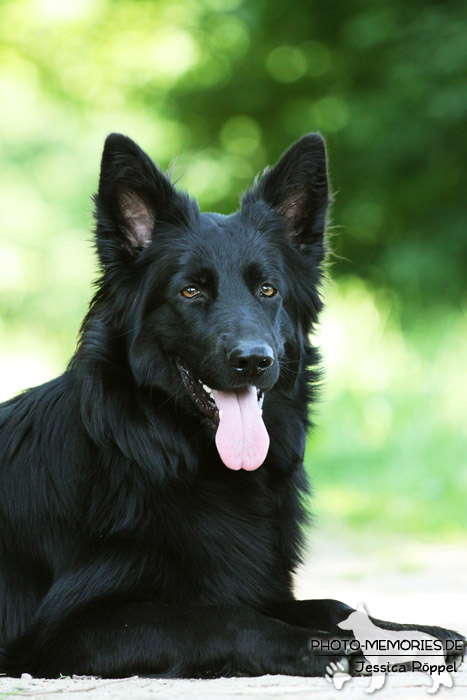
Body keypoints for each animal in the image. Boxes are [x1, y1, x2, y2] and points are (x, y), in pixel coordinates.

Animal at [0, 133, 464, 680]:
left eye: (268, 290)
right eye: (190, 290)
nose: (253, 361)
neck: (174, 456)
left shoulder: (255, 582)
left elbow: (334, 605)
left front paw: (413, 634)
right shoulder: (74, 629)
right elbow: (224, 618)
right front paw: (321, 647)